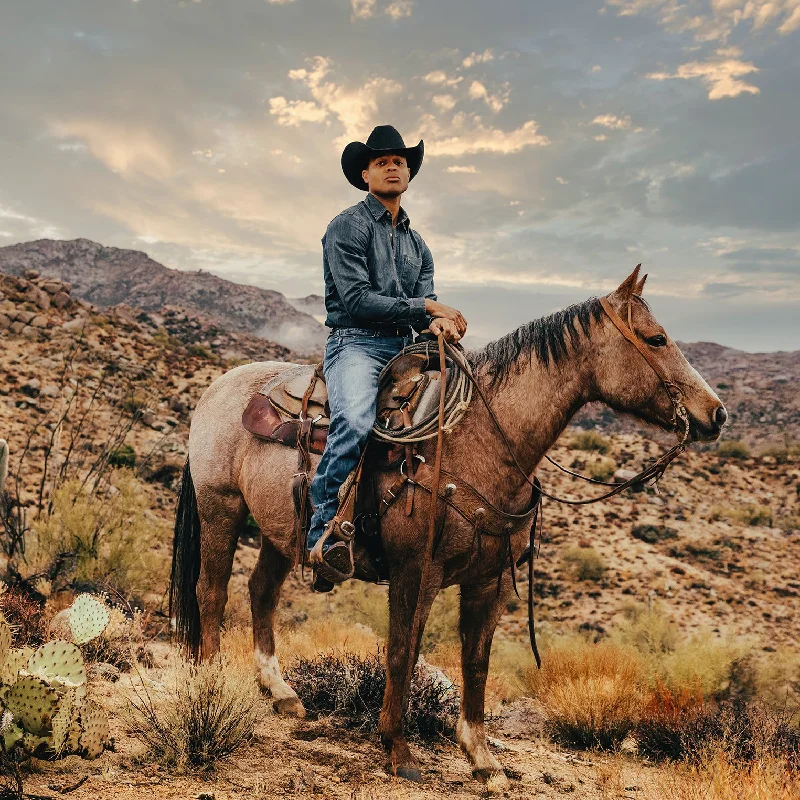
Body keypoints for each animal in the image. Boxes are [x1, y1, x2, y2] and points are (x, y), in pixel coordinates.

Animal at [172, 268, 728, 780]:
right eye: (656, 339)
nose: (717, 414)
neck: (479, 442)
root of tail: (218, 387)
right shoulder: (416, 571)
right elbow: (402, 652)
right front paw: (397, 749)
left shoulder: (491, 579)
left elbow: (476, 660)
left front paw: (481, 756)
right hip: (221, 508)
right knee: (211, 592)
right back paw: (213, 681)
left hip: (281, 532)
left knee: (261, 590)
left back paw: (281, 691)